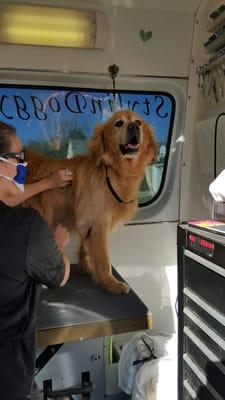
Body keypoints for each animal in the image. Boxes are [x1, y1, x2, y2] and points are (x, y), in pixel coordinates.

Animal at [24, 109, 156, 294]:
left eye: (138, 122)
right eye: (118, 123)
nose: (134, 127)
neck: (112, 171)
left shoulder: (88, 222)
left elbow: (85, 248)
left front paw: (86, 267)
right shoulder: (98, 224)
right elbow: (104, 260)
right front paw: (111, 283)